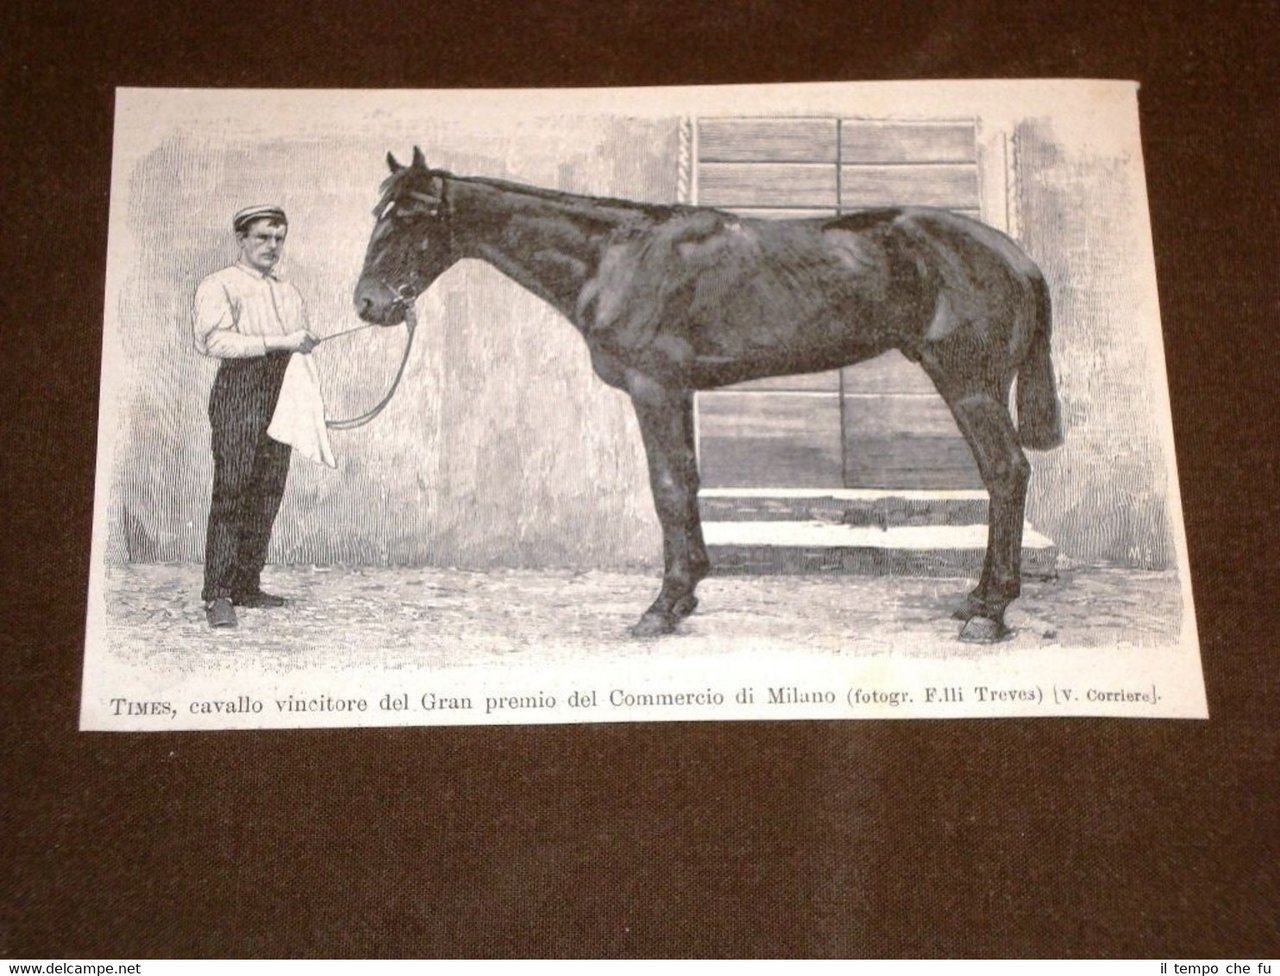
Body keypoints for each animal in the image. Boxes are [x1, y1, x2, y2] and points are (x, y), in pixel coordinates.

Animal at [353, 147, 1063, 642]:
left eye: (412, 217)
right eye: (376, 214)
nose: (368, 304)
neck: (616, 256)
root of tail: (1019, 258)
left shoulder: (655, 388)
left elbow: (667, 488)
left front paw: (662, 607)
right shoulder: (682, 392)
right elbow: (688, 483)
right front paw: (688, 591)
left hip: (969, 385)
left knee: (1006, 473)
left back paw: (990, 613)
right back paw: (976, 600)